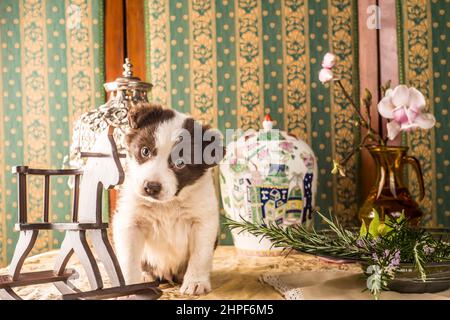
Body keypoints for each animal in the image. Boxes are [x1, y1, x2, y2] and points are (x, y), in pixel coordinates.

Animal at [113, 104, 224, 296]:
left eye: (180, 163)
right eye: (145, 151)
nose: (151, 187)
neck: (167, 204)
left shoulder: (203, 221)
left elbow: (200, 255)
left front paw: (195, 282)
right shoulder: (130, 222)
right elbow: (129, 258)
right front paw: (128, 287)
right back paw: (146, 276)